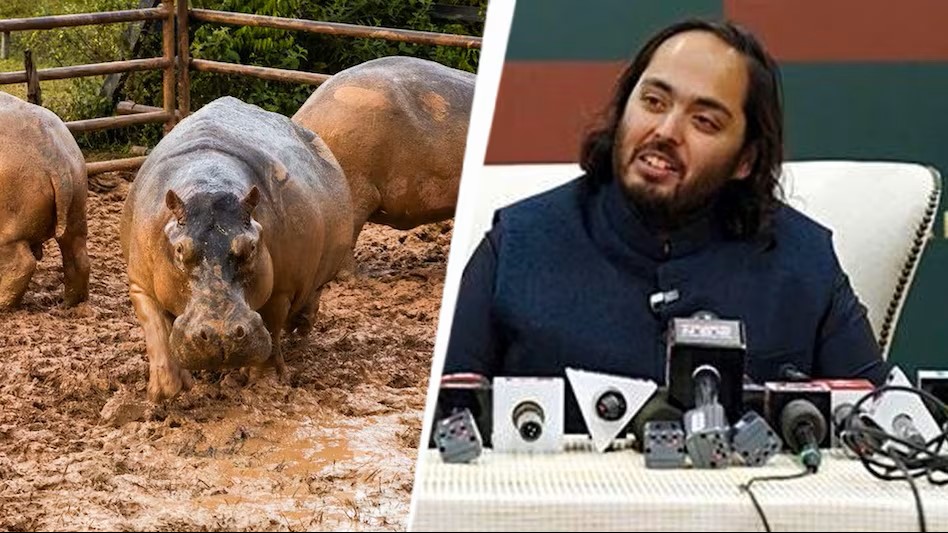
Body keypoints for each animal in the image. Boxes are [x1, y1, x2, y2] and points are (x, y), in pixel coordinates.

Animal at [0, 92, 89, 309]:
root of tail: (55, 158)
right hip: (77, 205)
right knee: (77, 255)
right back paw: (68, 305)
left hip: (9, 231)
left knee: (22, 263)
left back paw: (3, 305)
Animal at [120, 97, 353, 402]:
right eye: (180, 250)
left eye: (251, 246)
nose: (221, 336)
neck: (208, 186)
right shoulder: (140, 284)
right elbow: (156, 329)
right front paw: (168, 391)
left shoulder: (280, 289)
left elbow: (271, 328)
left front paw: (265, 384)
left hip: (320, 272)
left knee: (312, 295)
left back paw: (298, 329)